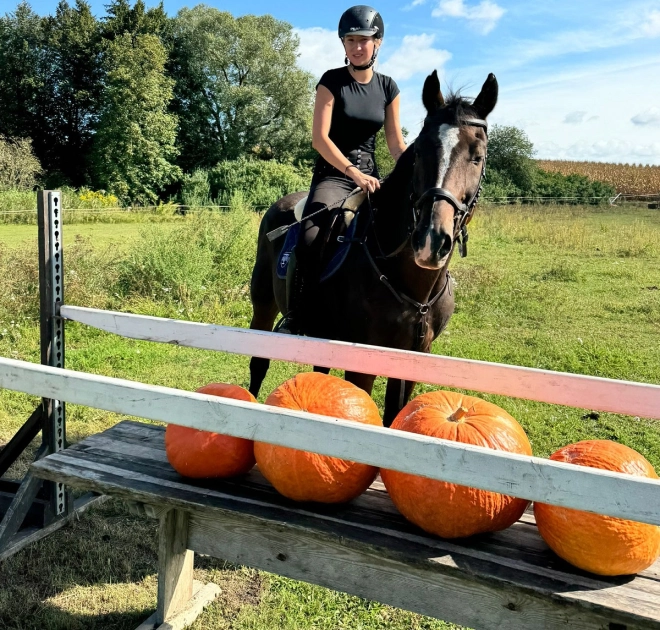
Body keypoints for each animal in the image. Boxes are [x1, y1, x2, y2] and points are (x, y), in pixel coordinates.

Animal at [250, 69, 498, 428]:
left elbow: (396, 415)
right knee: (258, 364)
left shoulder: (414, 357)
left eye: (477, 157)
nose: (431, 240)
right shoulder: (363, 360)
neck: (413, 288)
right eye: (420, 152)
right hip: (264, 306)